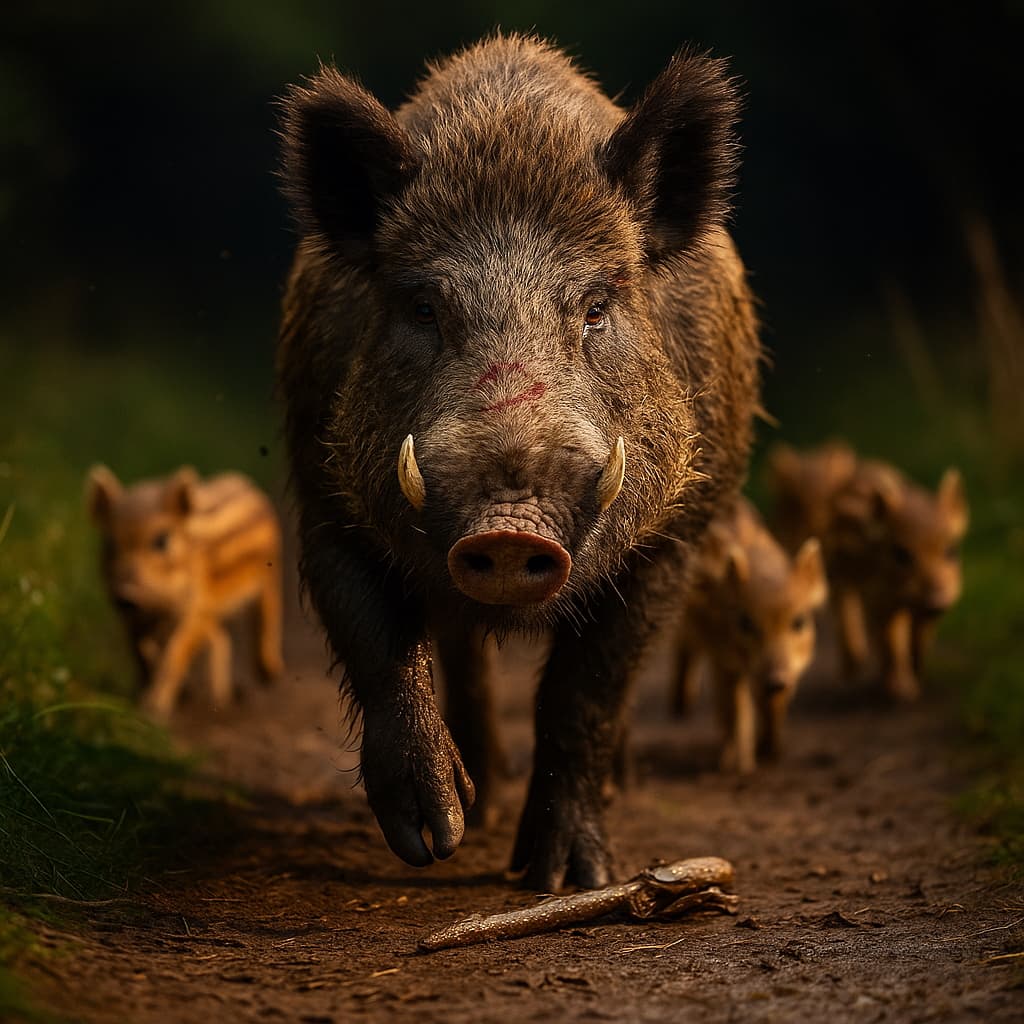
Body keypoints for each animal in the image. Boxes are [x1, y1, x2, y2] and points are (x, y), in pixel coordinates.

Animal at [86, 466, 284, 716]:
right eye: (110, 543)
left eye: (161, 541)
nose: (126, 595)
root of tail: (246, 483)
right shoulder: (135, 619)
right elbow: (141, 651)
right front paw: (142, 697)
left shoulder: (195, 607)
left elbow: (176, 650)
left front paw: (153, 709)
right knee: (221, 639)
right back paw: (219, 699)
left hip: (271, 574)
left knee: (268, 614)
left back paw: (268, 675)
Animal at [276, 33, 761, 890]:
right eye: (423, 306)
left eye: (597, 306)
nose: (508, 528)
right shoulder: (323, 498)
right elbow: (381, 648)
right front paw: (434, 841)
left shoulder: (672, 539)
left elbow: (584, 695)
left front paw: (564, 881)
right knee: (461, 652)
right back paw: (484, 799)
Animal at [672, 499, 828, 772]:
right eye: (745, 622)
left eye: (799, 621)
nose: (776, 681)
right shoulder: (724, 657)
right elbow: (735, 707)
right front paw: (739, 768)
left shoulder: (783, 673)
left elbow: (773, 704)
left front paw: (772, 754)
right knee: (685, 651)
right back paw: (682, 708)